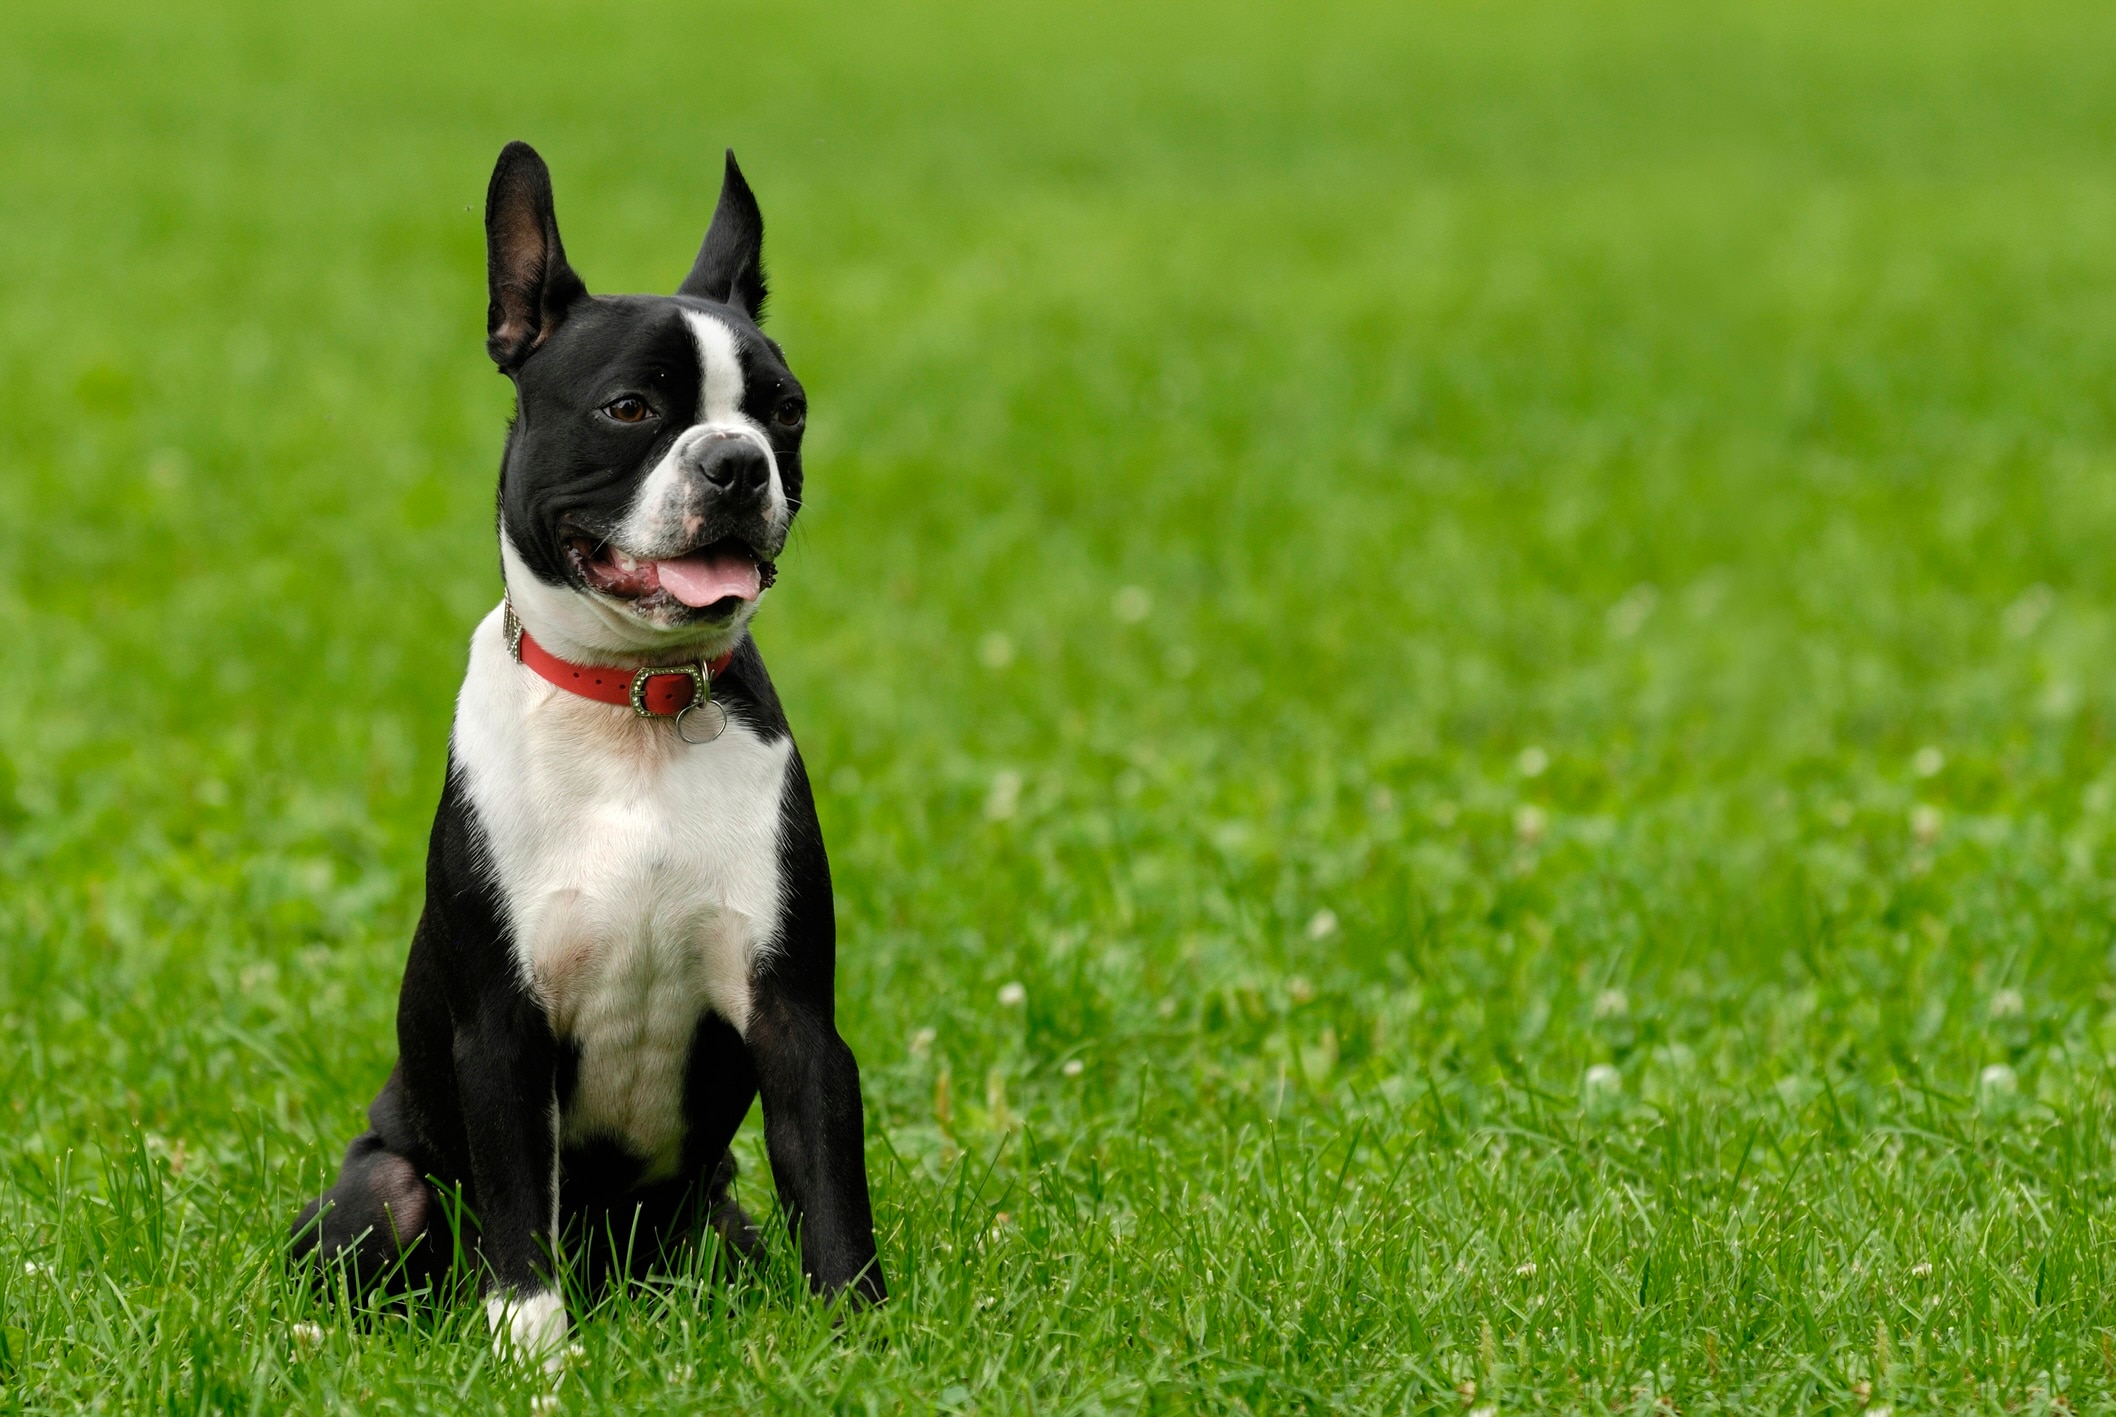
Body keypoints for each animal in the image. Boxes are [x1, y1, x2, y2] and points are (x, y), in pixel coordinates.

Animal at [292, 141, 884, 1362]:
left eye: (786, 412)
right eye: (629, 408)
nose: (736, 462)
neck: (637, 704)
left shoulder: (796, 1020)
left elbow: (832, 1194)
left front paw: (861, 1344)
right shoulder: (501, 1031)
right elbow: (519, 1212)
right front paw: (535, 1356)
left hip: (713, 1214)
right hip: (389, 1185)